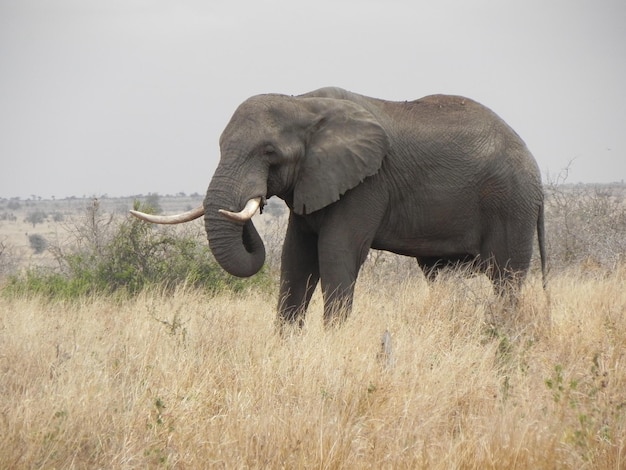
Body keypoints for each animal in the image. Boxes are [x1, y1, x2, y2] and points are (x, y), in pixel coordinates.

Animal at [133, 85, 544, 326]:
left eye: (269, 153)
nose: (257, 201)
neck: (303, 104)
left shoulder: (367, 182)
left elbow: (335, 252)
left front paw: (333, 342)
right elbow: (296, 257)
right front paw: (286, 344)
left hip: (511, 202)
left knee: (505, 276)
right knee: (441, 275)